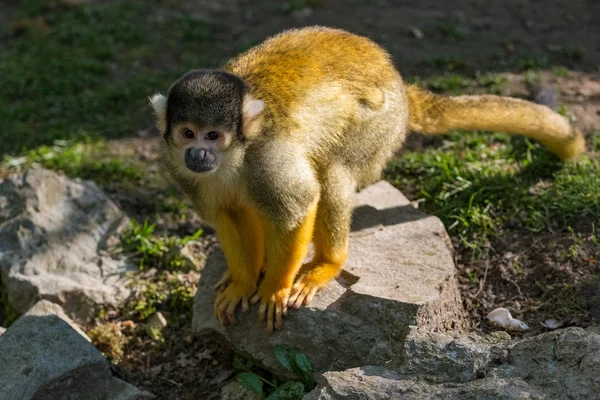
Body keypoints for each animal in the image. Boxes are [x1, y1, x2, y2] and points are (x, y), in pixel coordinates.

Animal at [150, 24, 584, 332]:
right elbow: (227, 216)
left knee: (332, 176)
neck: (234, 158)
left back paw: (327, 263)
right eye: (187, 133)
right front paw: (243, 281)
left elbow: (298, 206)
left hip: (378, 124)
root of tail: (397, 81)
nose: (198, 154)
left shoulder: (266, 158)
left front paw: (273, 287)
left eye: (213, 136)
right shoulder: (181, 171)